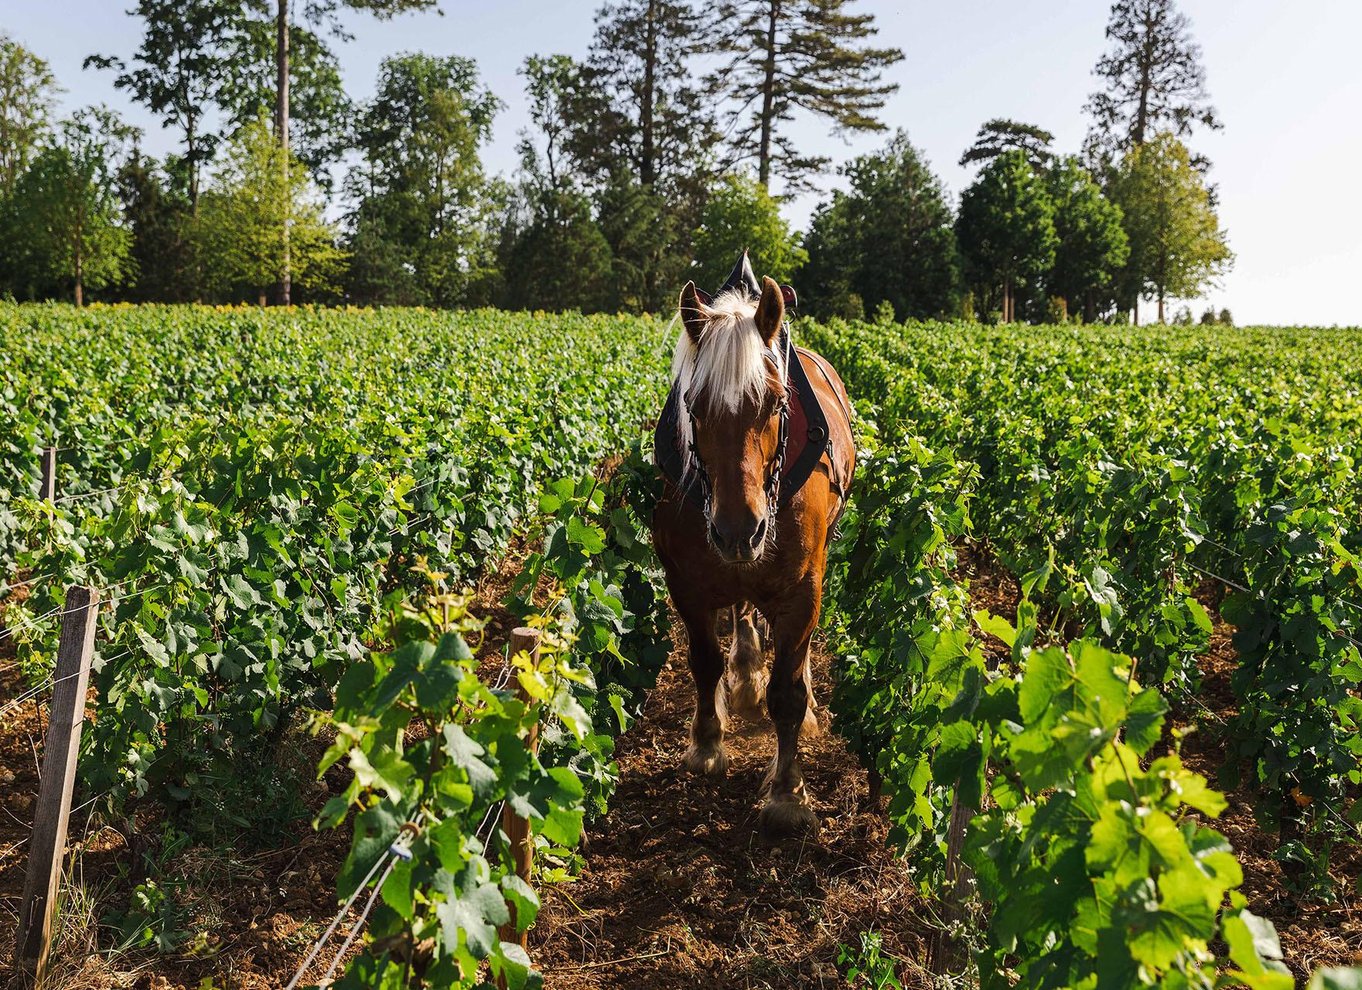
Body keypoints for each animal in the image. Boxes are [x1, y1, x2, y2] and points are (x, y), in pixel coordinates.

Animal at [648, 253, 849, 838]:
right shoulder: (687, 583)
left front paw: (788, 793)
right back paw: (744, 673)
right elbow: (704, 661)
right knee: (740, 614)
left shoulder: (803, 590)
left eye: (776, 402)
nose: (740, 531)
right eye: (693, 405)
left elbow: (787, 691)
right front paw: (707, 744)